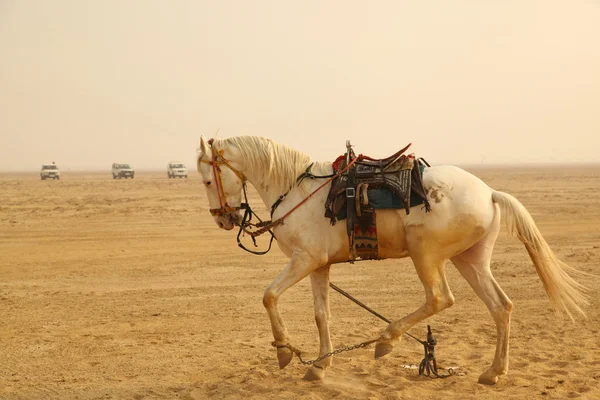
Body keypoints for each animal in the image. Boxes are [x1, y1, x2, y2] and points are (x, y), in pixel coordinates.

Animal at [196, 137, 584, 384]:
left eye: (206, 180)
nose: (223, 218)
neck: (295, 190)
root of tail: (489, 193)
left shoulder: (305, 260)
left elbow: (269, 295)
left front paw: (284, 352)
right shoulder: (320, 265)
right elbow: (322, 315)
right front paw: (319, 366)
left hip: (425, 253)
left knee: (440, 298)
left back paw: (386, 339)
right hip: (470, 259)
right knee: (501, 307)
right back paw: (493, 373)